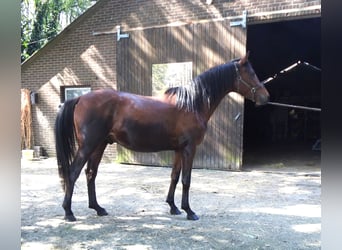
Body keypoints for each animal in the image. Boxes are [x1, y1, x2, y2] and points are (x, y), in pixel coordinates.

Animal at [55, 52, 270, 221]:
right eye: (251, 73)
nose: (265, 97)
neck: (192, 104)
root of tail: (80, 98)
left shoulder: (179, 150)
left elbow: (174, 177)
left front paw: (173, 207)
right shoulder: (189, 149)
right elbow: (186, 180)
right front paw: (190, 211)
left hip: (99, 145)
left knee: (90, 173)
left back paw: (98, 208)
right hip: (87, 146)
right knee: (72, 173)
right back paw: (68, 212)